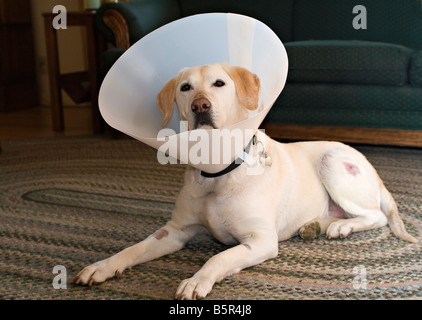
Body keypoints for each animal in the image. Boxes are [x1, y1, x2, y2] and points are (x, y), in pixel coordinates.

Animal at [74, 63, 418, 300]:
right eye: (185, 87)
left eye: (219, 83)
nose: (200, 105)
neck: (216, 175)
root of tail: (373, 169)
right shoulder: (173, 232)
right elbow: (134, 249)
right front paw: (103, 266)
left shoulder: (261, 240)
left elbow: (220, 256)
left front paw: (197, 280)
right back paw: (315, 225)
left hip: (331, 161)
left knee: (375, 216)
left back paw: (342, 227)